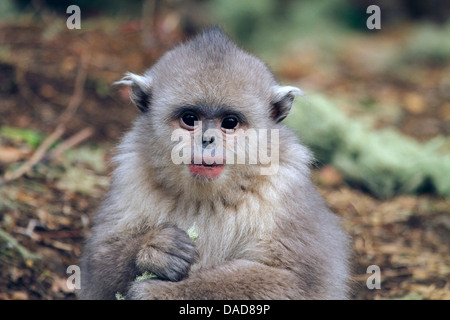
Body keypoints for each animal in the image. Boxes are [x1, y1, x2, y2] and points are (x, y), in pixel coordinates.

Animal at [78, 27, 352, 300]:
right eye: (190, 119)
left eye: (229, 123)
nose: (207, 139)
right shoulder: (131, 174)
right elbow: (95, 270)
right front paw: (154, 249)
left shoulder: (284, 187)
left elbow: (301, 282)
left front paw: (161, 292)